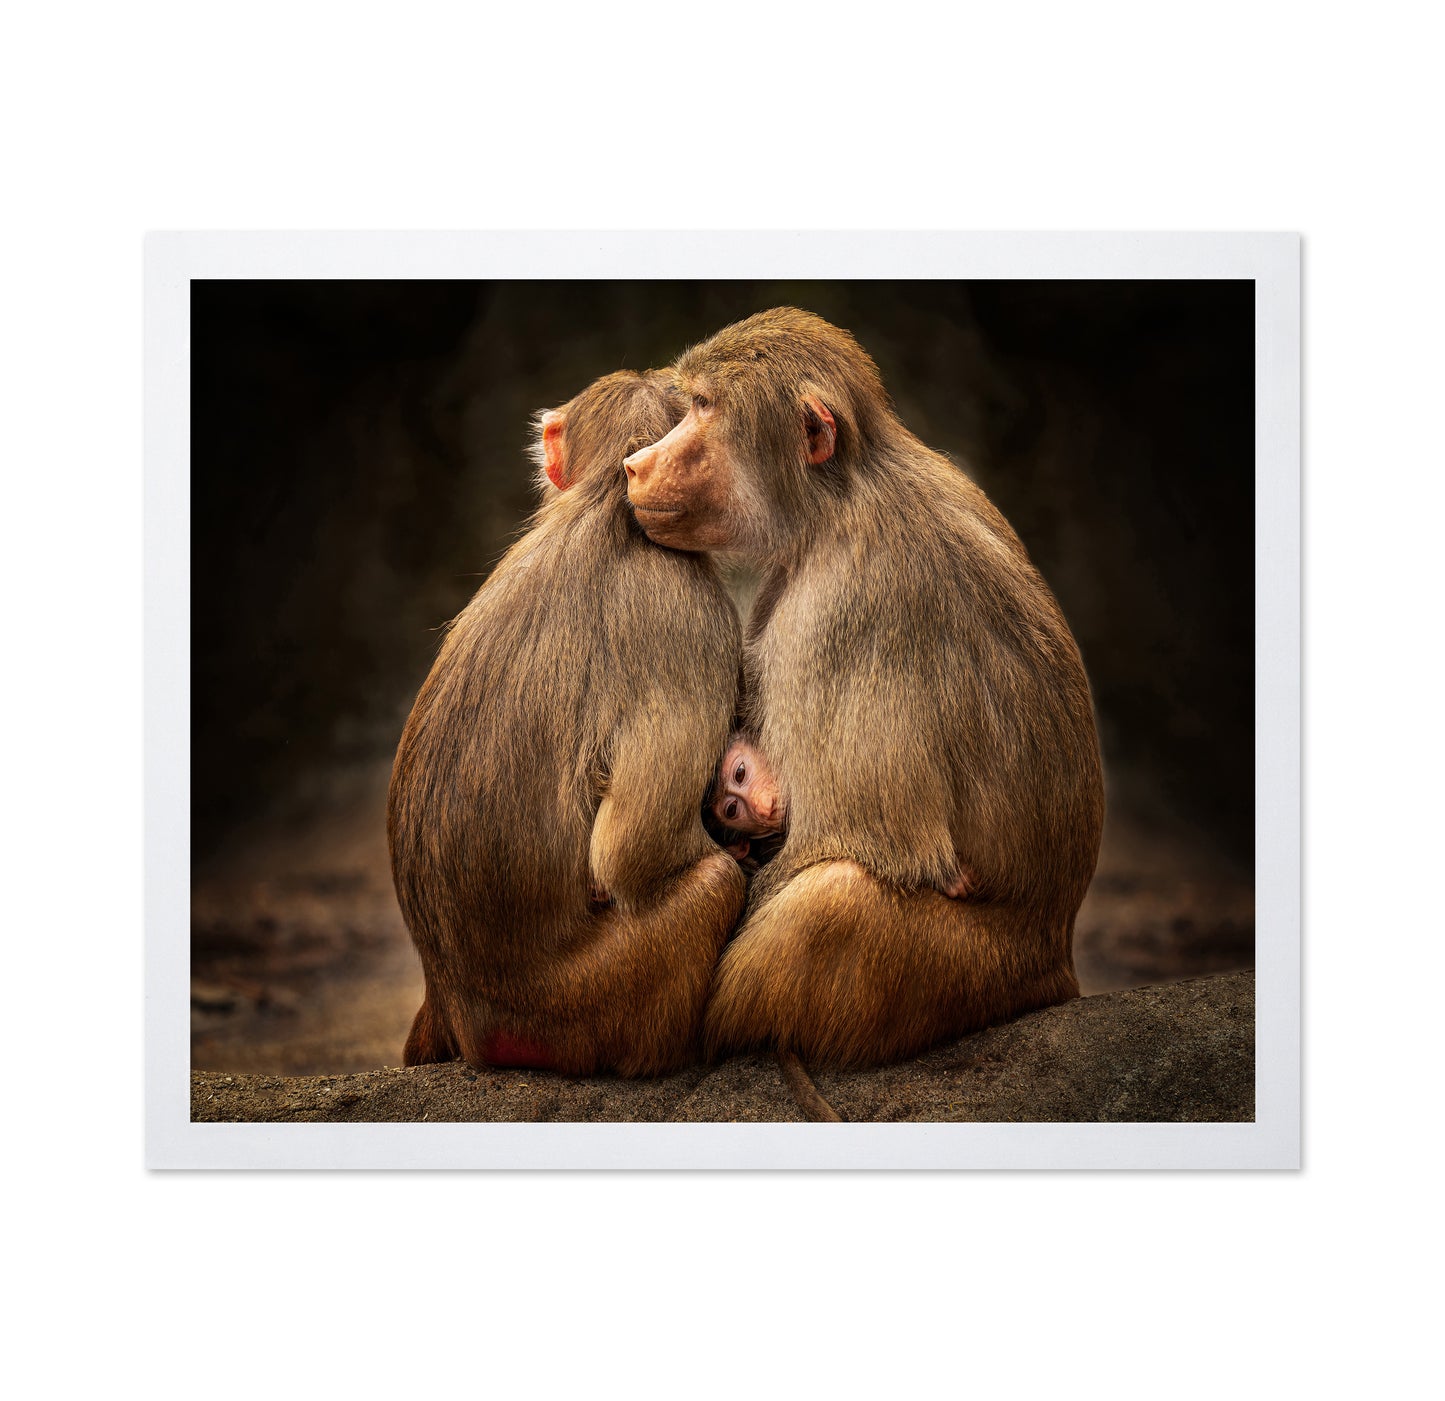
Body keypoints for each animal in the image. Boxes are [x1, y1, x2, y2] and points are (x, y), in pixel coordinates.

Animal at [387, 369, 746, 1077]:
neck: (608, 500)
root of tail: (461, 1004)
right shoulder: (693, 618)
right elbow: (633, 851)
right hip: (579, 1010)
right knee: (714, 884)